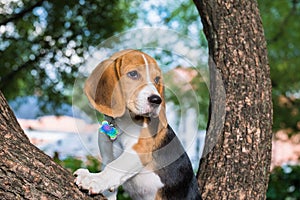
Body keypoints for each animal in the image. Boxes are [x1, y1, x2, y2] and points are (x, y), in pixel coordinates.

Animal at [74, 49, 202, 199]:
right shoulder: (107, 156)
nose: (156, 100)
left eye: (157, 79)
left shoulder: (140, 150)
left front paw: (94, 179)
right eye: (133, 74)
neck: (121, 123)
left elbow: (116, 167)